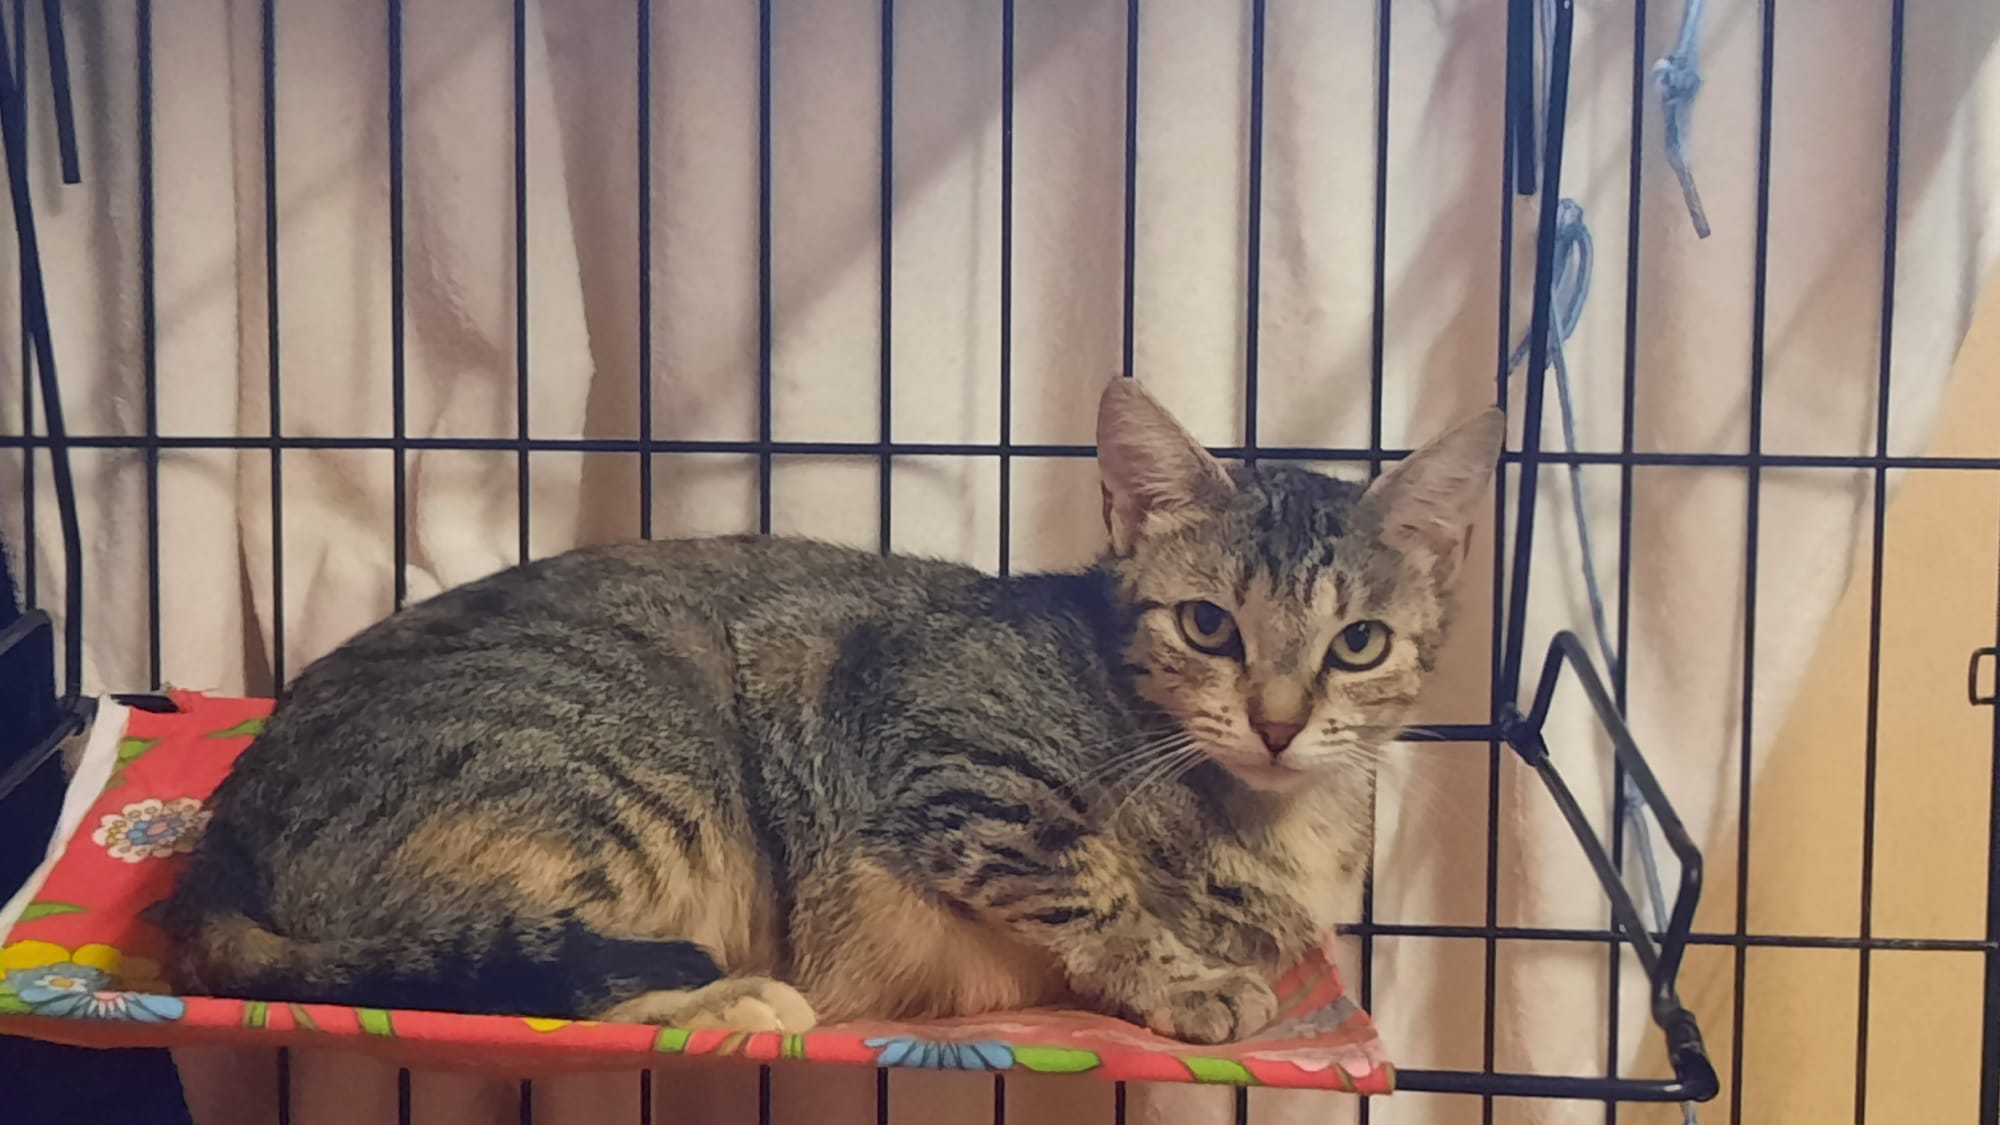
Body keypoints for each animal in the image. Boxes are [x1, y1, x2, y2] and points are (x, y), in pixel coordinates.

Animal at [161, 378, 1502, 1045]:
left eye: (1357, 644)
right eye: (1208, 626)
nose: (1275, 721)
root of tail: (217, 847)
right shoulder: (950, 756)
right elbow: (1092, 884)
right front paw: (1182, 977)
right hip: (623, 783)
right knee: (494, 968)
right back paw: (725, 1002)